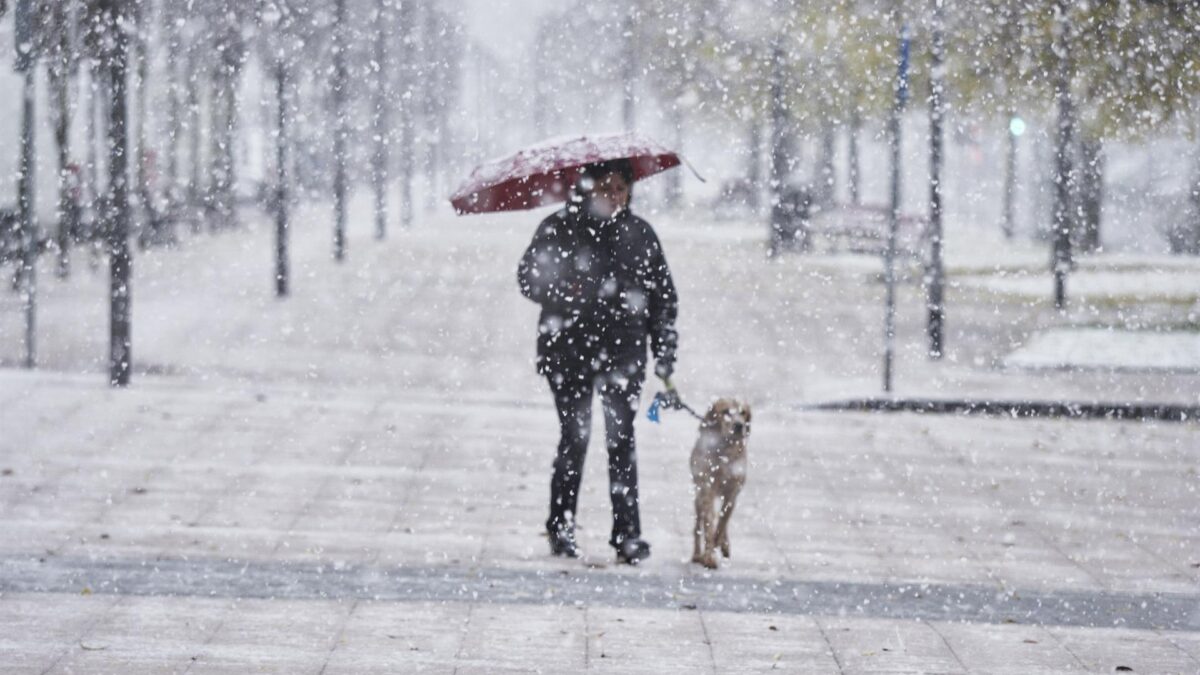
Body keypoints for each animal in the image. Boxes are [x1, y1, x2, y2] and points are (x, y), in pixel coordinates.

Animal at [691, 398, 753, 566]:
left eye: (743, 412)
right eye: (726, 411)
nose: (739, 425)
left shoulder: (733, 492)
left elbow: (723, 520)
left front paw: (719, 542)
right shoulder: (707, 489)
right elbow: (709, 524)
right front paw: (708, 557)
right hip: (698, 497)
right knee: (698, 527)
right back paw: (697, 554)